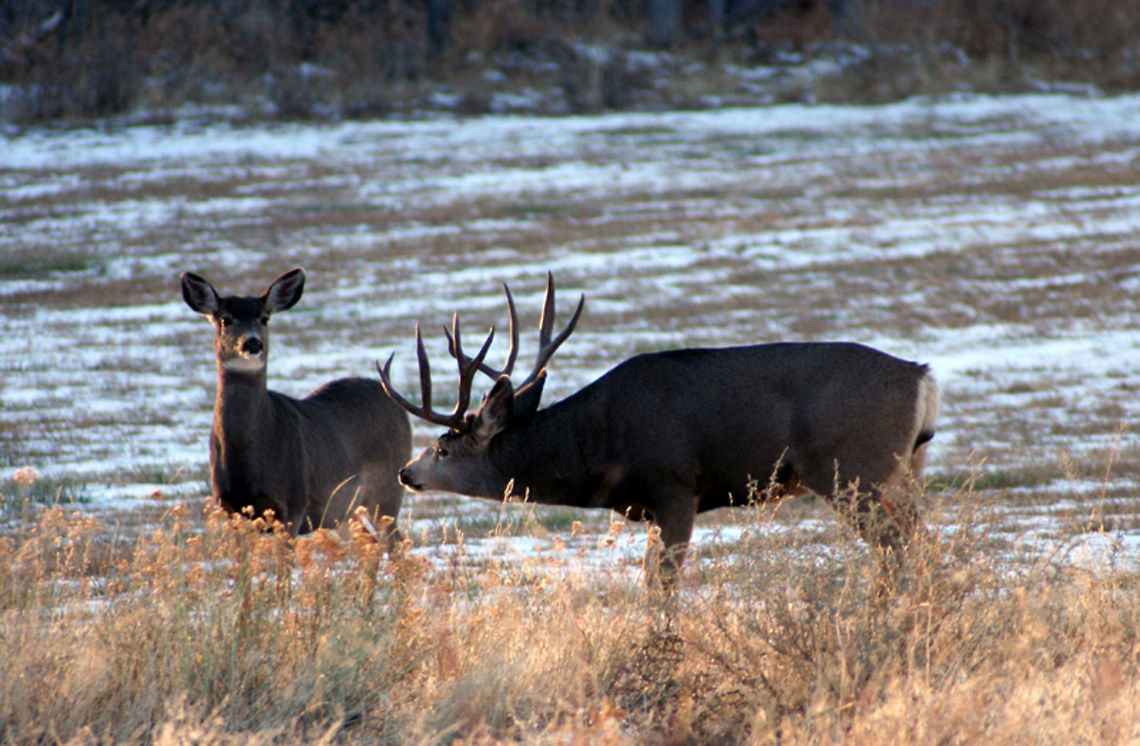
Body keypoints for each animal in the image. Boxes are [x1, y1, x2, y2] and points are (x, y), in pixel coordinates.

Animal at [181, 267, 411, 547]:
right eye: (225, 319)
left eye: (264, 318)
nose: (252, 343)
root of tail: (393, 397)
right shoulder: (230, 509)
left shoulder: (292, 505)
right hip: (347, 513)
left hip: (387, 488)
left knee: (396, 541)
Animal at [378, 273, 940, 590]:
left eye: (443, 448)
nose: (406, 472)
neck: (598, 445)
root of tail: (922, 376)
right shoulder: (649, 509)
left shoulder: (674, 488)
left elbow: (660, 588)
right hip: (900, 472)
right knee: (920, 541)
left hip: (853, 469)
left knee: (897, 548)